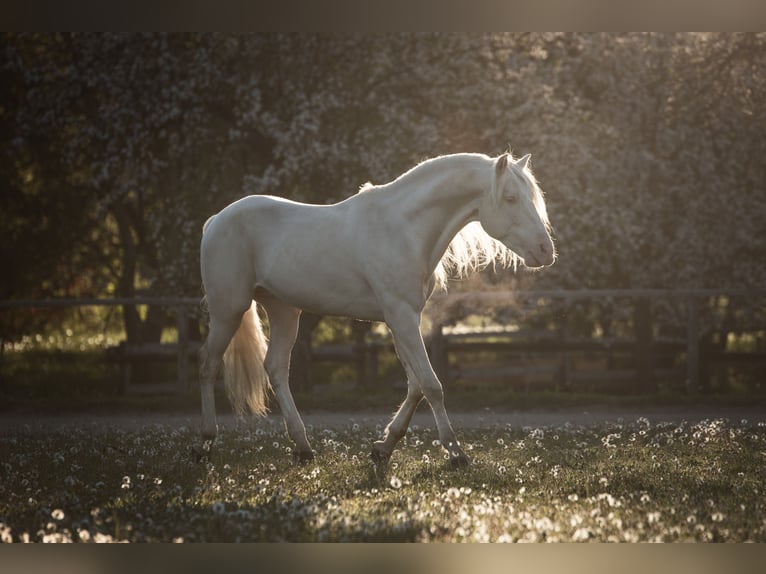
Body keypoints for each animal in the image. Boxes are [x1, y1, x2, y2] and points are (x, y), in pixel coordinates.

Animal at [201, 152, 556, 468]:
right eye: (511, 198)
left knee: (275, 368)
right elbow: (432, 386)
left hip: (284, 311)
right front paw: (456, 454)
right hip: (227, 312)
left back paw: (303, 449)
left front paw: (383, 447)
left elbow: (415, 387)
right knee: (209, 365)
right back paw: (206, 443)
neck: (403, 228)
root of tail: (216, 220)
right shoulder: (402, 317)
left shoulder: (401, 320)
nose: (546, 251)